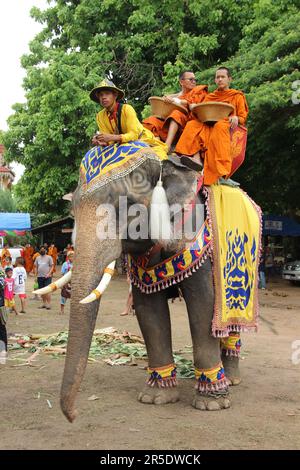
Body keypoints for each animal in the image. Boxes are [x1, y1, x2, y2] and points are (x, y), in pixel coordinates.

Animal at [58, 148, 244, 422]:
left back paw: (230, 380)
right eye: (73, 210)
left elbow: (203, 304)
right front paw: (155, 398)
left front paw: (212, 403)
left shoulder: (195, 235)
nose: (73, 415)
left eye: (124, 206)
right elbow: (148, 309)